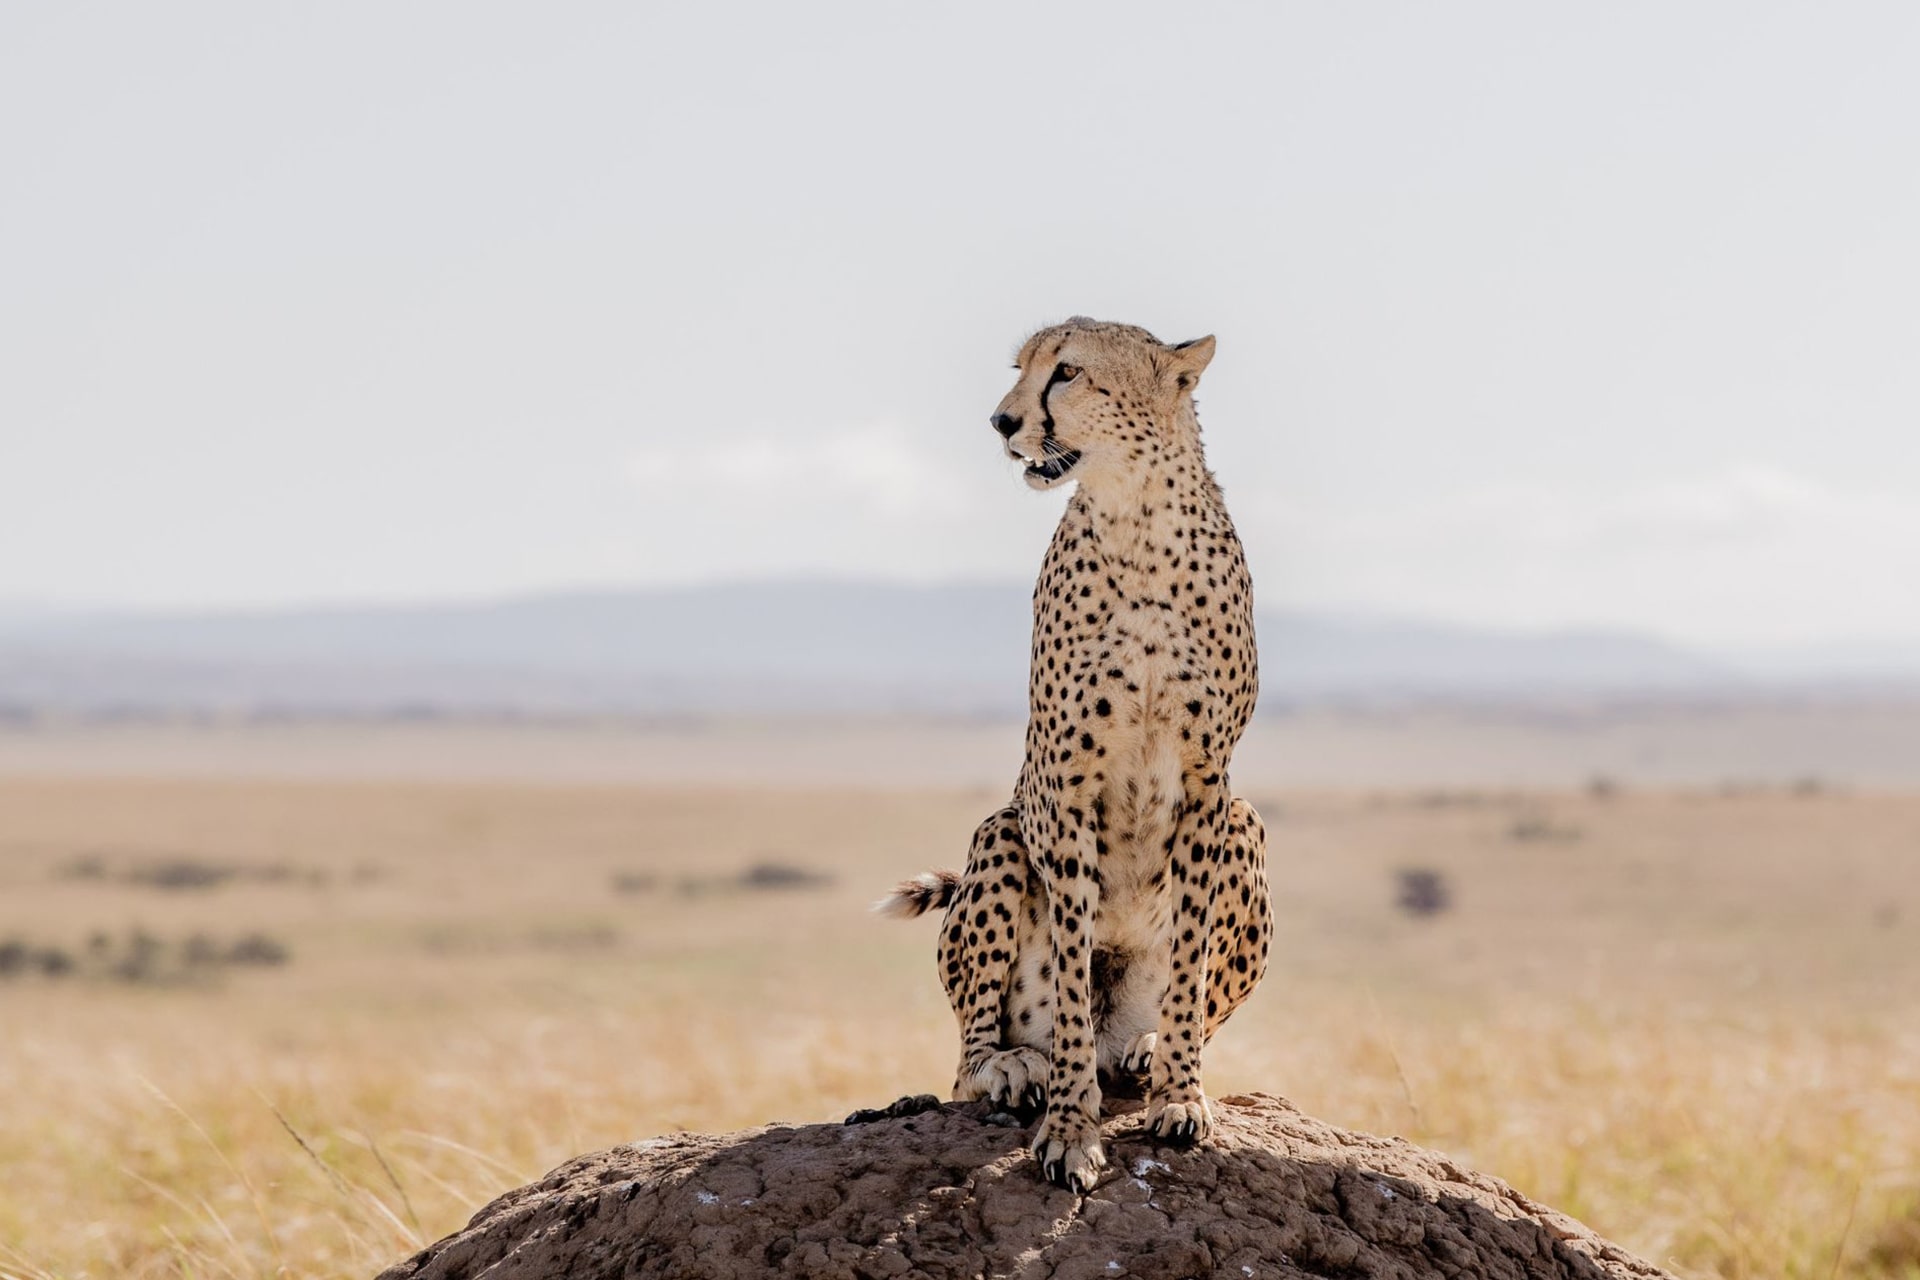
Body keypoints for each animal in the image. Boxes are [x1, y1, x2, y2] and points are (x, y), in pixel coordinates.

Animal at [879, 318, 1274, 1189]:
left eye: (1066, 372)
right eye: (1020, 368)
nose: (1001, 420)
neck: (1139, 521)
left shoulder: (1208, 783)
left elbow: (1192, 960)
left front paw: (1181, 1093)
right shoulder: (1064, 782)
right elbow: (1065, 971)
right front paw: (1067, 1127)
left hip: (1246, 821)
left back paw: (1148, 1049)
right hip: (1001, 831)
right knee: (971, 1060)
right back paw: (1013, 1067)